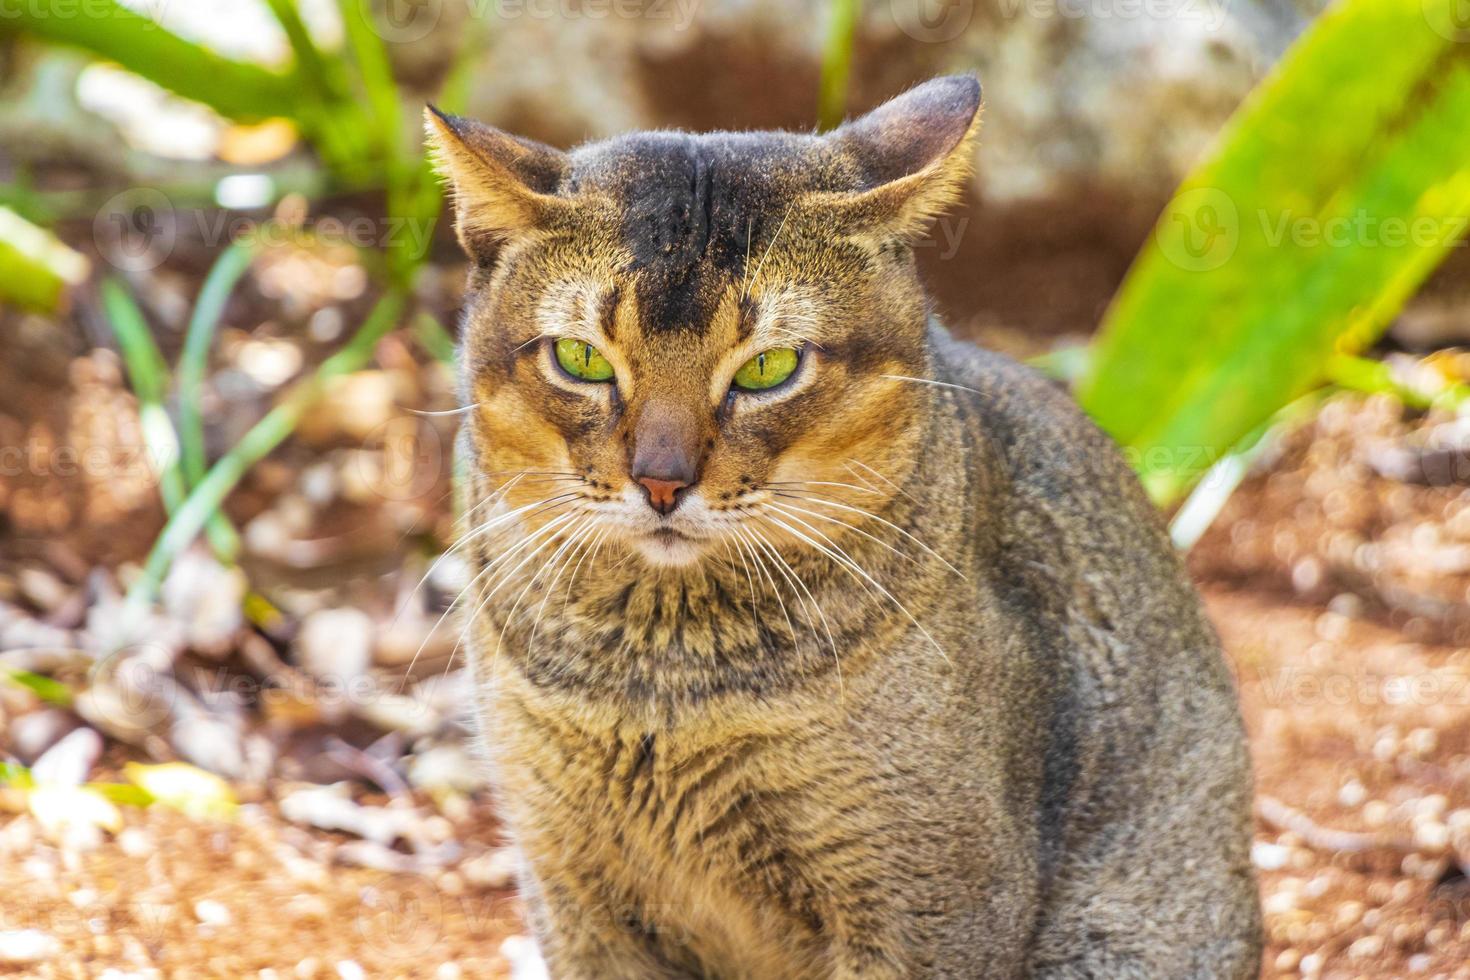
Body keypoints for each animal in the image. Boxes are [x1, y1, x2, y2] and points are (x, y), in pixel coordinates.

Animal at [426, 72, 1264, 975]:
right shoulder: (570, 887)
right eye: (581, 360)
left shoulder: (933, 906)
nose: (660, 481)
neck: (665, 685)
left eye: (767, 369)